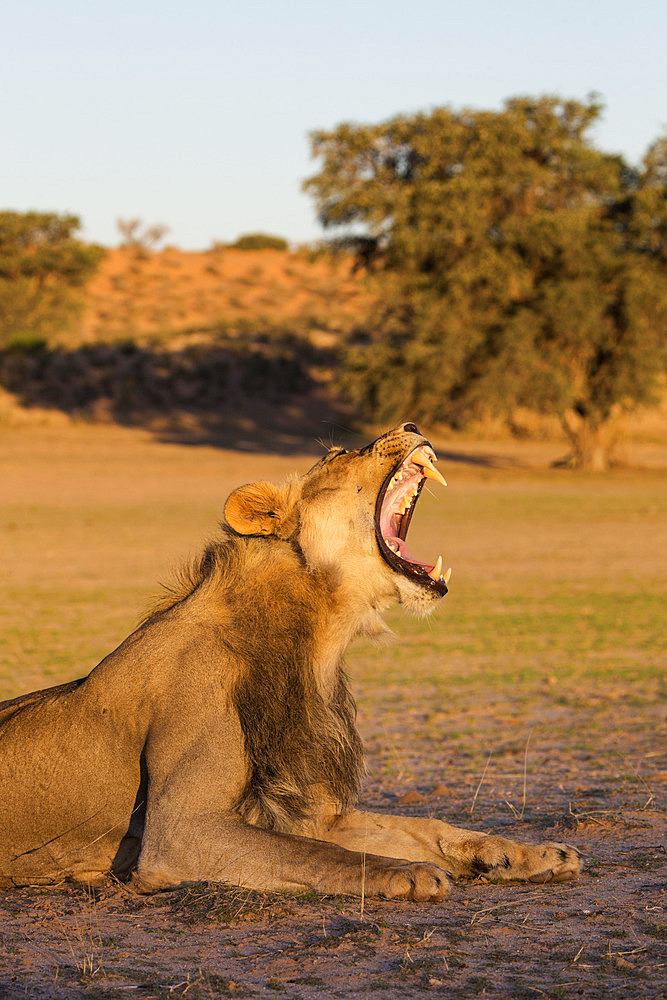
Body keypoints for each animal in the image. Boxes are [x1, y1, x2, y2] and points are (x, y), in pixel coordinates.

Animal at [0, 422, 580, 900]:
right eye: (340, 452)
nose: (413, 423)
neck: (320, 639)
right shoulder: (179, 832)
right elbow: (324, 854)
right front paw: (406, 873)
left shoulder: (304, 808)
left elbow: (419, 827)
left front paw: (528, 853)